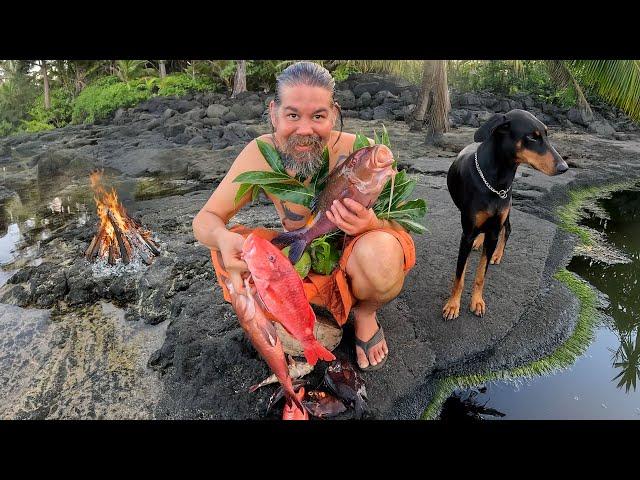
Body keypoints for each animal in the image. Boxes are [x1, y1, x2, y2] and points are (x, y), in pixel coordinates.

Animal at [442, 110, 568, 320]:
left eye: (546, 133)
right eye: (532, 137)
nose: (564, 167)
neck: (496, 180)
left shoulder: (494, 230)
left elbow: (481, 275)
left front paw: (477, 301)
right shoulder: (467, 234)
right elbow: (460, 275)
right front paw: (453, 305)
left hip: (506, 212)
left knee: (507, 229)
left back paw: (496, 254)